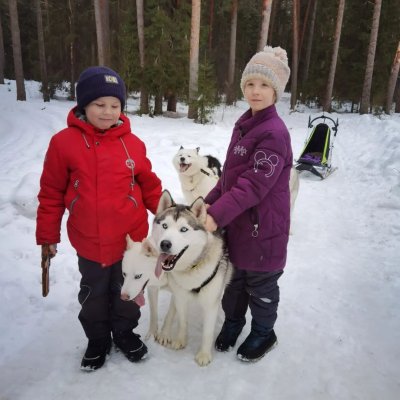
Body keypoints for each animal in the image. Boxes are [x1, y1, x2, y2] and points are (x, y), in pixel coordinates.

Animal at [151, 190, 232, 366]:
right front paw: (181, 340)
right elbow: (183, 321)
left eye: (183, 229)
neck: (193, 268)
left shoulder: (210, 303)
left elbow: (207, 332)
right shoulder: (181, 296)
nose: (165, 244)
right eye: (165, 226)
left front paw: (204, 355)